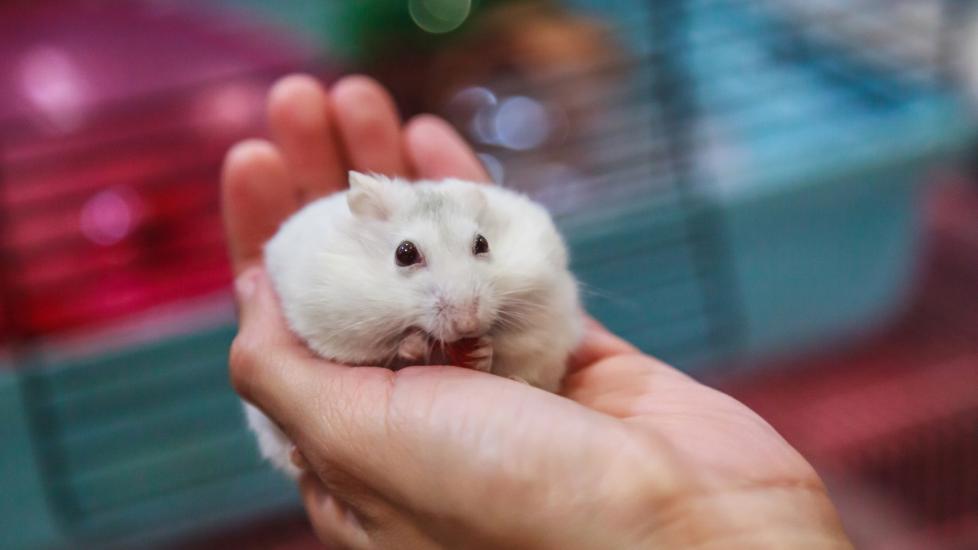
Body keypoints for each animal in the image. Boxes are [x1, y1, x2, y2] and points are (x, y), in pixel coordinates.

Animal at [245, 171, 583, 477]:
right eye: (405, 253)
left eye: (483, 243)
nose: (468, 323)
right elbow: (395, 351)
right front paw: (414, 343)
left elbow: (502, 351)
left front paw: (481, 350)